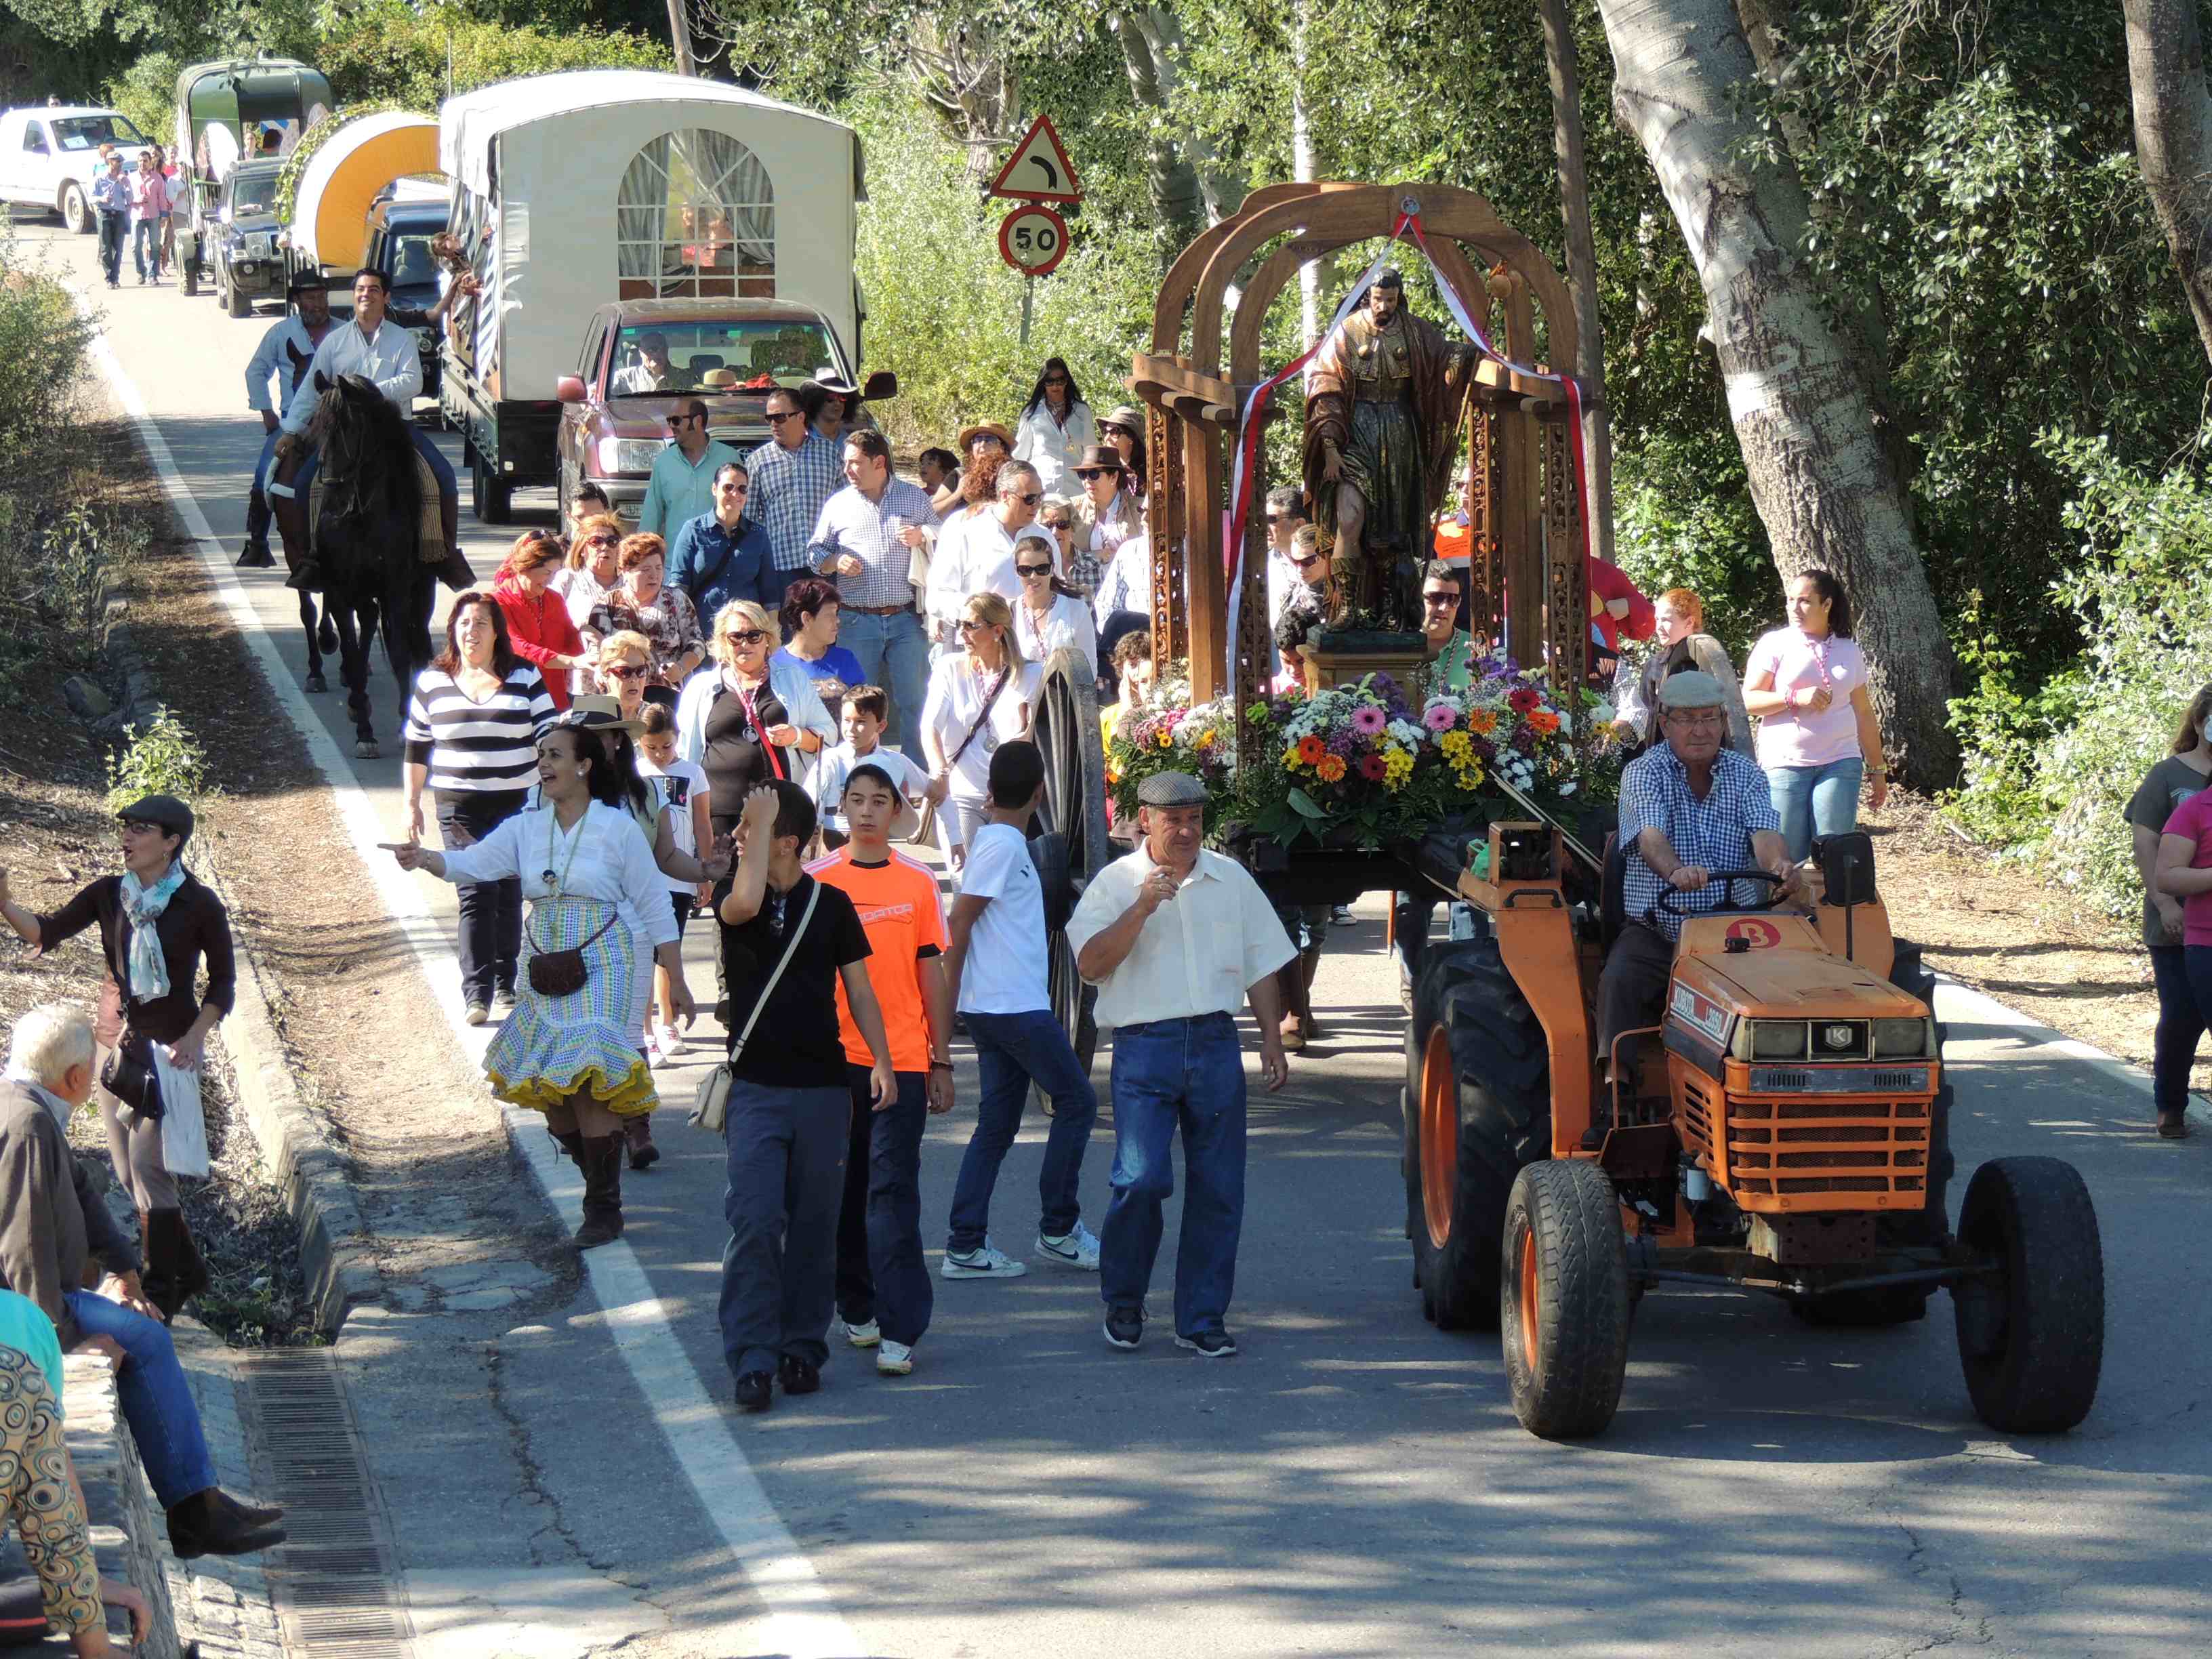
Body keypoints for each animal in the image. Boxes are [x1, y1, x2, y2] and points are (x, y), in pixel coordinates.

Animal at [289, 375, 436, 760]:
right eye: (316, 426)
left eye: (349, 427)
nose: (332, 497)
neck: (361, 513)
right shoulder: (341, 588)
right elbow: (353, 653)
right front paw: (365, 732)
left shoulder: (396, 587)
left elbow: (399, 650)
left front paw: (405, 723)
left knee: (406, 632)